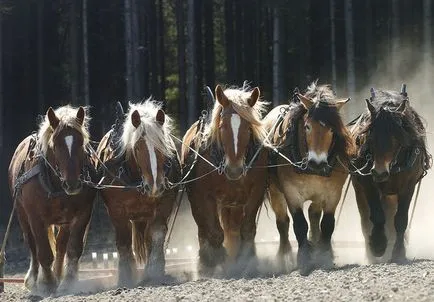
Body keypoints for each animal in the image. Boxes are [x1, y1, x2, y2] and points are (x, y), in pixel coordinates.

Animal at [7, 105, 96, 294]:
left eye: (81, 142)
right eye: (55, 145)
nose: (72, 184)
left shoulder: (83, 213)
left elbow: (73, 248)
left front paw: (68, 281)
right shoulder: (35, 217)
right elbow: (44, 252)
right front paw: (47, 283)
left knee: (61, 245)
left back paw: (58, 274)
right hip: (22, 214)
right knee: (32, 245)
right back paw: (33, 279)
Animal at [96, 100, 181, 286]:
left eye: (162, 146)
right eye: (137, 148)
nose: (154, 186)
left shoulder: (165, 201)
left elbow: (156, 233)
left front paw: (155, 271)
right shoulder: (116, 209)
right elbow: (123, 240)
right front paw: (126, 276)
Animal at [181, 84, 270, 274]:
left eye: (248, 128)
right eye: (222, 127)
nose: (234, 169)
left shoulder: (256, 191)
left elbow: (247, 228)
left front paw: (246, 259)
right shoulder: (203, 196)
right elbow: (214, 232)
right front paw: (215, 261)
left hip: (233, 205)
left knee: (233, 229)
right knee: (203, 229)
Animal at [262, 81, 354, 274]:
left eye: (332, 129)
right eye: (307, 127)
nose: (317, 163)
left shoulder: (333, 192)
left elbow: (327, 223)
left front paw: (324, 255)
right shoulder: (291, 192)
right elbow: (299, 224)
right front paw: (303, 258)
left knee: (313, 214)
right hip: (275, 191)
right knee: (282, 222)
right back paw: (285, 256)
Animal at [350, 84, 432, 264]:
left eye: (396, 137)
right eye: (370, 136)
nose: (379, 172)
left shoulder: (408, 186)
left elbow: (400, 219)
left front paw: (398, 252)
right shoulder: (368, 183)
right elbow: (377, 215)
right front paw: (378, 245)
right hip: (360, 188)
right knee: (365, 219)